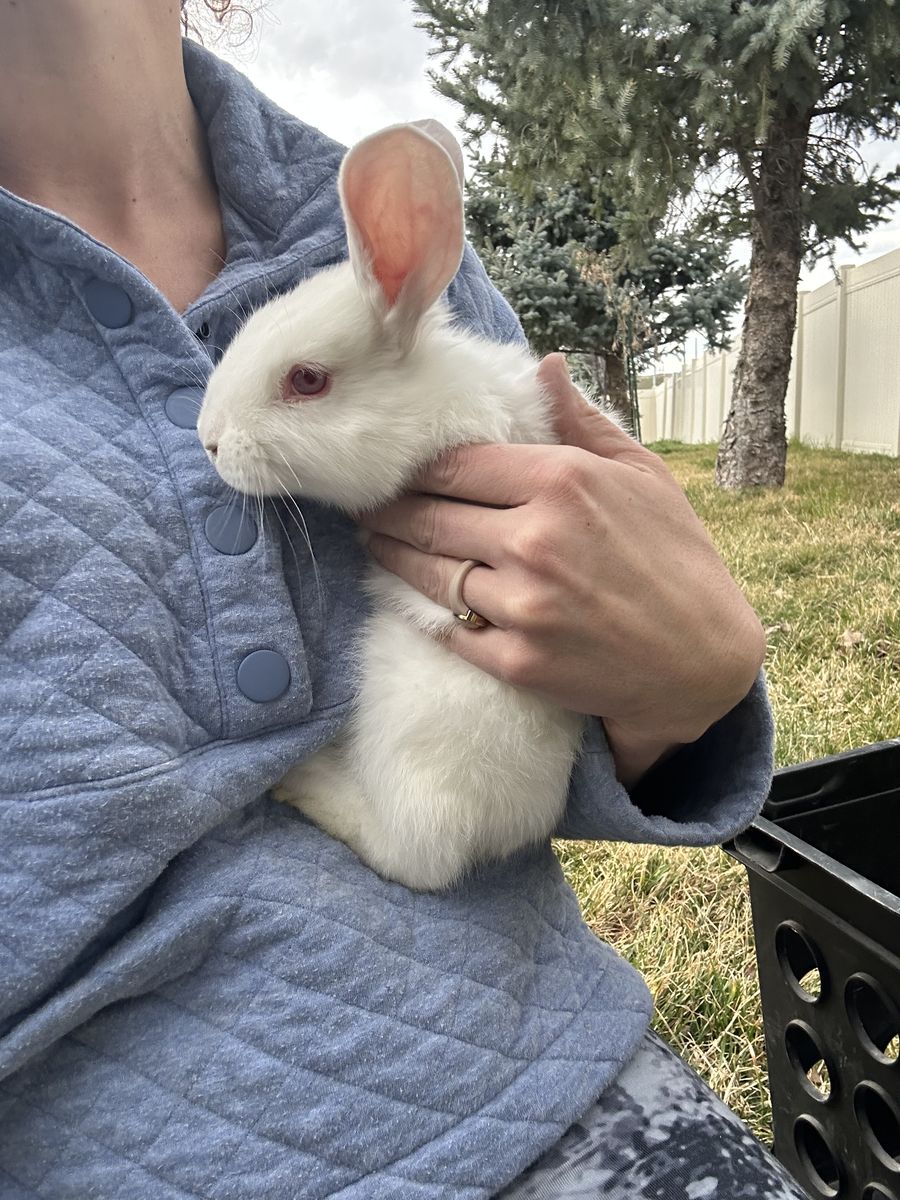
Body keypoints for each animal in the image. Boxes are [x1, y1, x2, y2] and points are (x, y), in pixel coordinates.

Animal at [197, 119, 605, 891]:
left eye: (307, 380)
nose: (207, 439)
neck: (430, 398)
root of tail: (509, 829)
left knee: (413, 856)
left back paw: (308, 780)